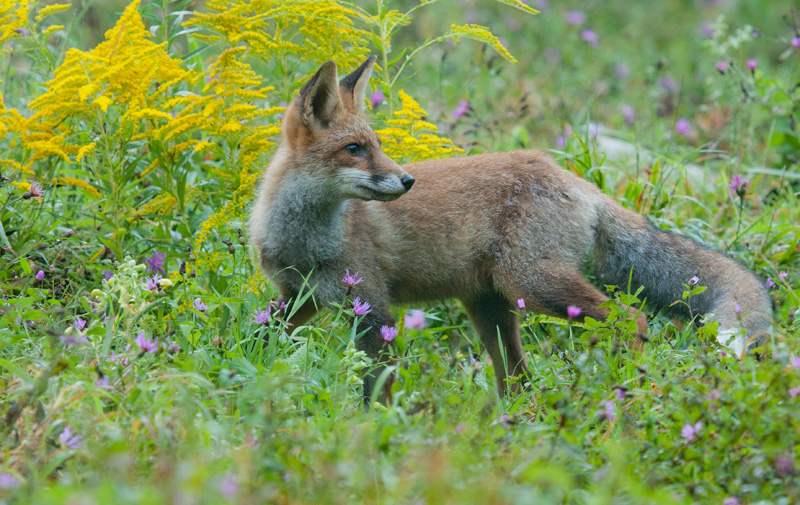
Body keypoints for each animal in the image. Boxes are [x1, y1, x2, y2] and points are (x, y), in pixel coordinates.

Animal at [250, 57, 776, 400]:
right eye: (355, 149)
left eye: (374, 146)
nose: (407, 181)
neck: (305, 239)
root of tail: (570, 176)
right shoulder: (298, 296)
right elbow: (260, 337)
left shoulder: (371, 306)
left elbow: (375, 389)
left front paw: (377, 431)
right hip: (491, 307)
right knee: (519, 381)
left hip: (530, 283)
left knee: (634, 319)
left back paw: (625, 386)